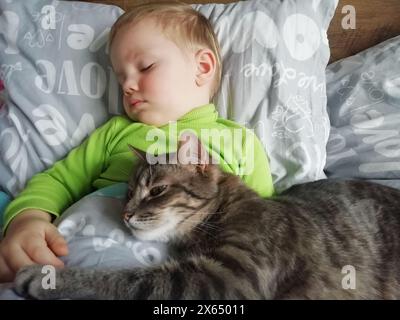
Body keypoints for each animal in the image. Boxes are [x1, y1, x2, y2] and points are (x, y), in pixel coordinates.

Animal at [14, 132, 400, 300]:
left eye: (157, 190)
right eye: (128, 192)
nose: (126, 213)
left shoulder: (226, 277)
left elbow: (124, 281)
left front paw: (47, 278)